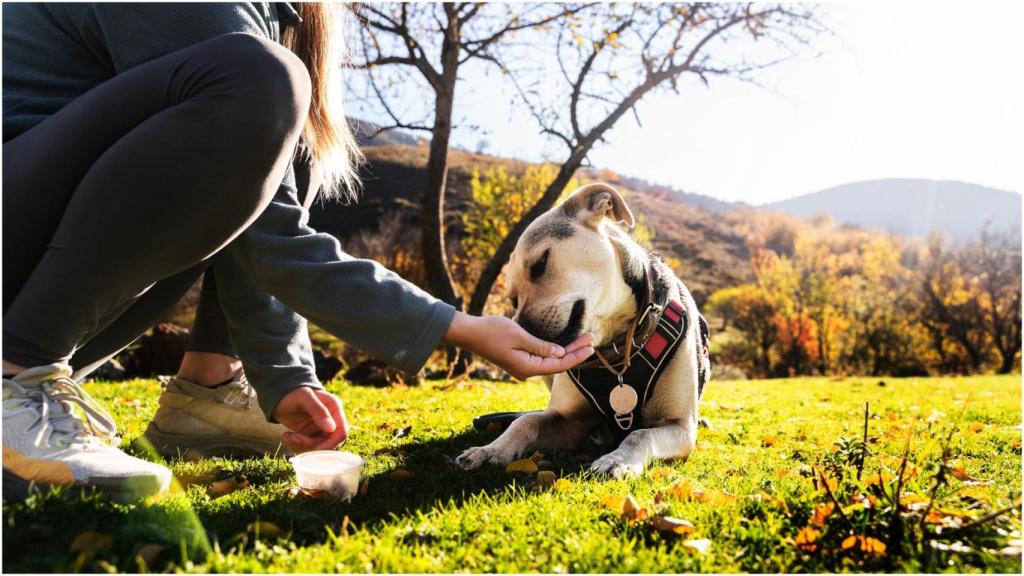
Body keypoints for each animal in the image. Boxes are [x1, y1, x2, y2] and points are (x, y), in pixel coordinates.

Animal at [458, 182, 712, 475]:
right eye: (512, 300)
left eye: (540, 264)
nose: (522, 334)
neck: (615, 349)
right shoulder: (570, 423)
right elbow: (526, 422)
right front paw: (489, 450)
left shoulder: (680, 426)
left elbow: (639, 435)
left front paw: (618, 460)